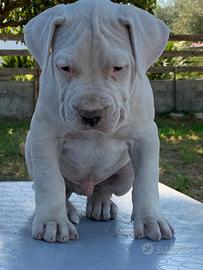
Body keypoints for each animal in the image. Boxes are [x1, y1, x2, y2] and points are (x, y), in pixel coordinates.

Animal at [24, 0, 173, 243]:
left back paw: (101, 204)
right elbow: (50, 181)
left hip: (125, 176)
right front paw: (53, 222)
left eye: (118, 68)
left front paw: (151, 220)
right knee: (57, 189)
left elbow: (147, 181)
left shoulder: (145, 138)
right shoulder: (44, 137)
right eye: (64, 68)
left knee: (104, 189)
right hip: (31, 155)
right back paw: (67, 211)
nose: (90, 114)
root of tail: (86, 187)